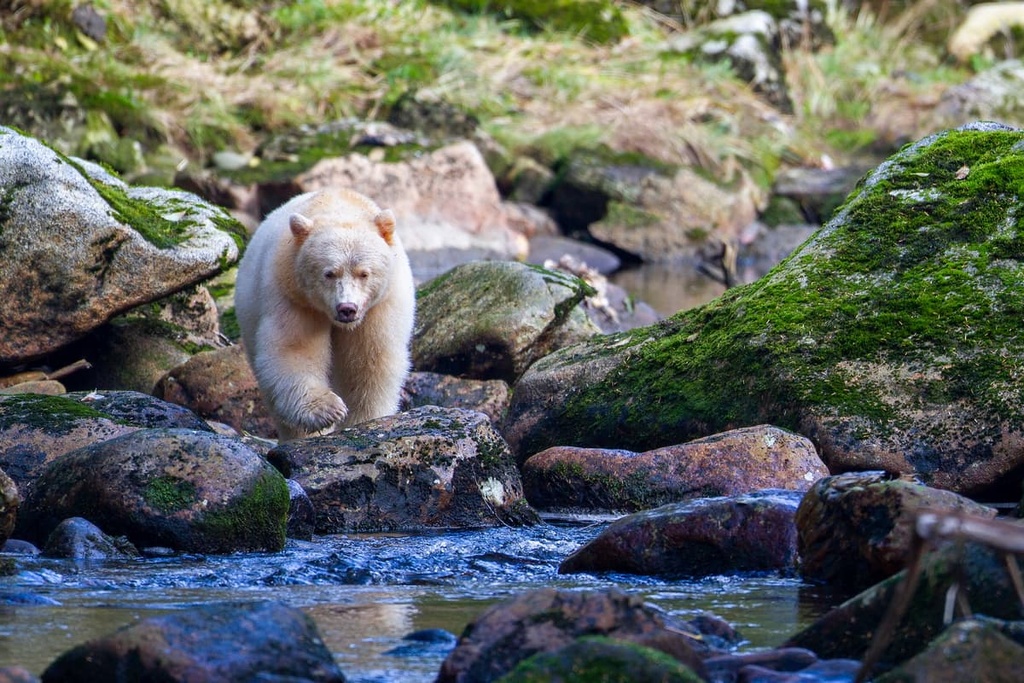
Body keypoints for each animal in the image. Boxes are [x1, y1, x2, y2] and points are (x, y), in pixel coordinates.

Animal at [234, 188, 416, 441]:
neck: (337, 204)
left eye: (364, 273)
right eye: (329, 273)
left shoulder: (380, 306)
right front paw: (328, 409)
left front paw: (363, 420)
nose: (347, 308)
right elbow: (294, 350)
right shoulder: (294, 296)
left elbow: (369, 362)